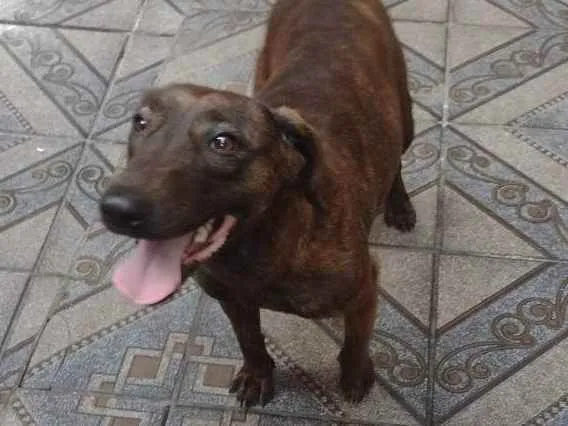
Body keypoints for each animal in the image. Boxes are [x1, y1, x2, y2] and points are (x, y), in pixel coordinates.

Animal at [100, 0, 414, 408]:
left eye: (223, 142)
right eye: (140, 122)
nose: (116, 209)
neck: (261, 247)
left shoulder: (363, 291)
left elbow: (355, 343)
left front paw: (355, 375)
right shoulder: (232, 299)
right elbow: (249, 340)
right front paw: (258, 374)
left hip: (404, 118)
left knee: (397, 162)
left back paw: (399, 205)